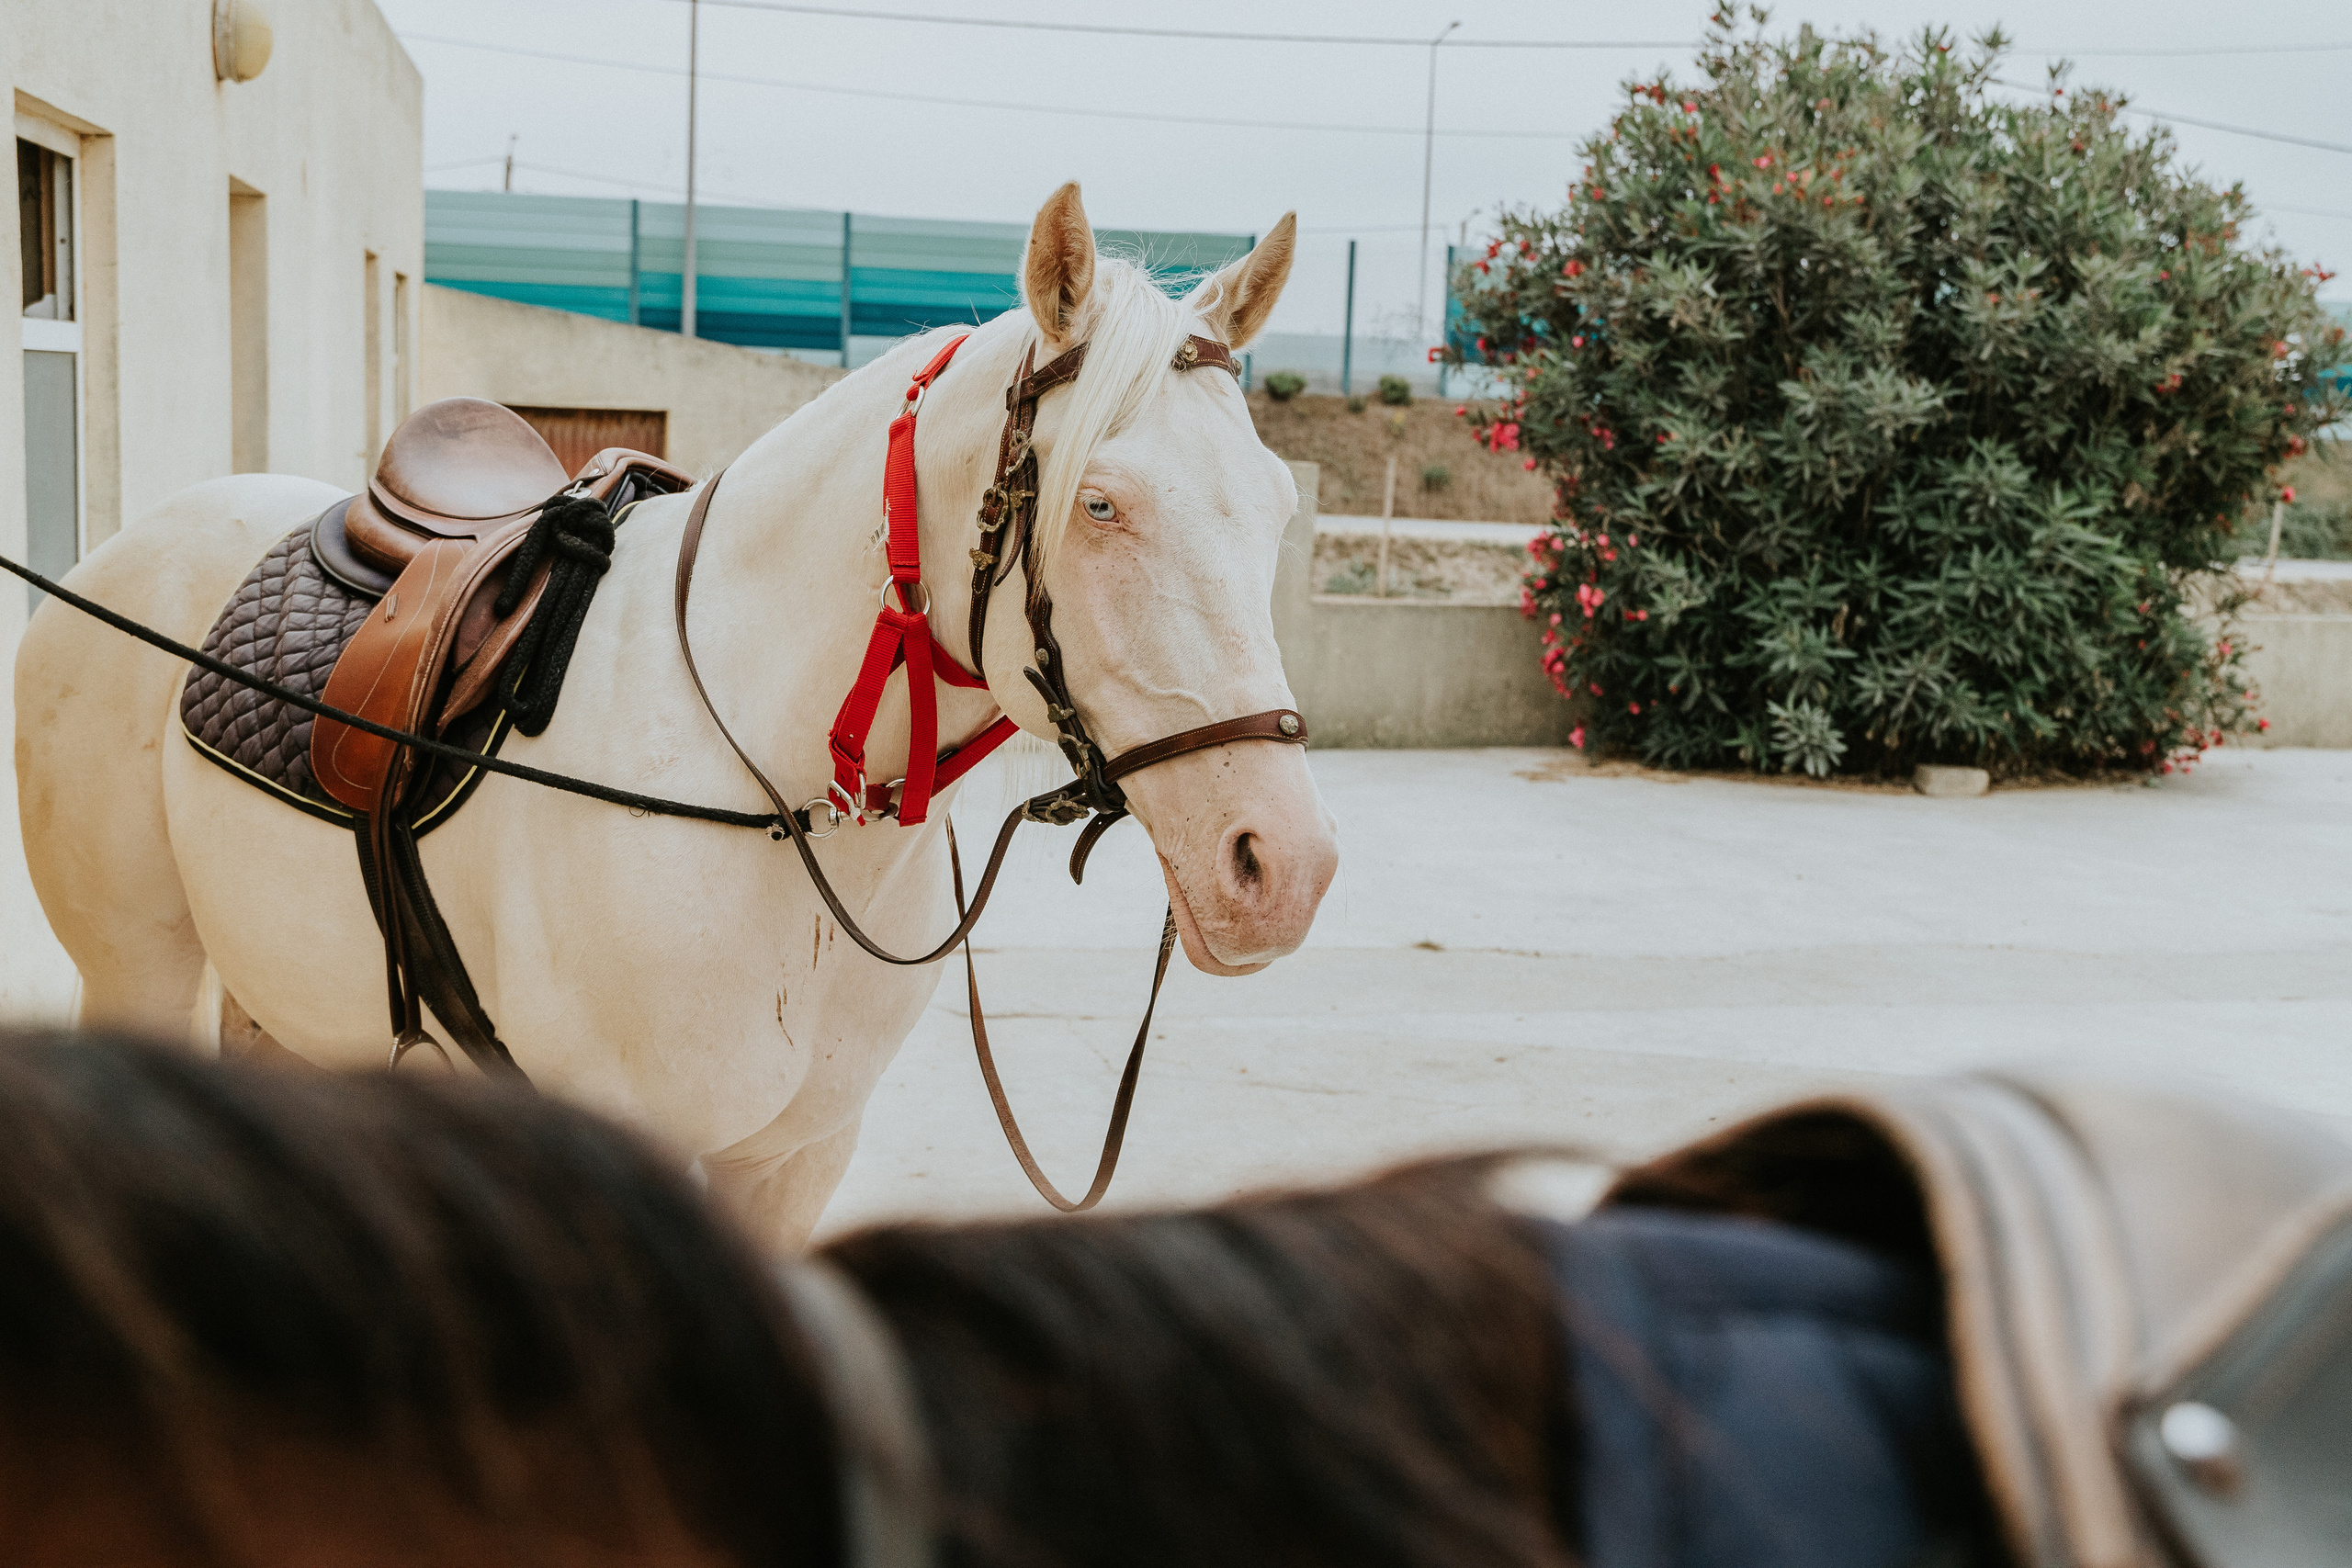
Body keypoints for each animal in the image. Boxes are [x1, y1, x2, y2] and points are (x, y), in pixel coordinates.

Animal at [11, 183, 1339, 1247]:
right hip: (141, 970)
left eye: (1280, 505)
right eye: (1100, 504)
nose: (1279, 869)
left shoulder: (796, 1156)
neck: (768, 797)